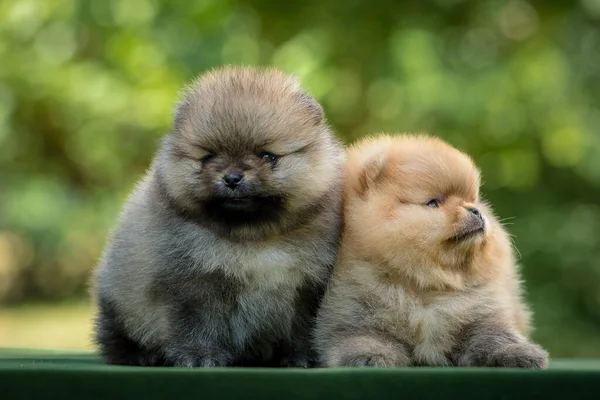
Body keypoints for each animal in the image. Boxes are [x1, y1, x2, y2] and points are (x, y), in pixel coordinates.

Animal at [94, 66, 346, 368]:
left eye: (267, 156)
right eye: (208, 158)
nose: (232, 177)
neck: (254, 239)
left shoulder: (307, 288)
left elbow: (301, 328)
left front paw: (301, 358)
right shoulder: (194, 285)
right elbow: (196, 325)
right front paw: (199, 356)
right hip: (122, 302)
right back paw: (141, 355)